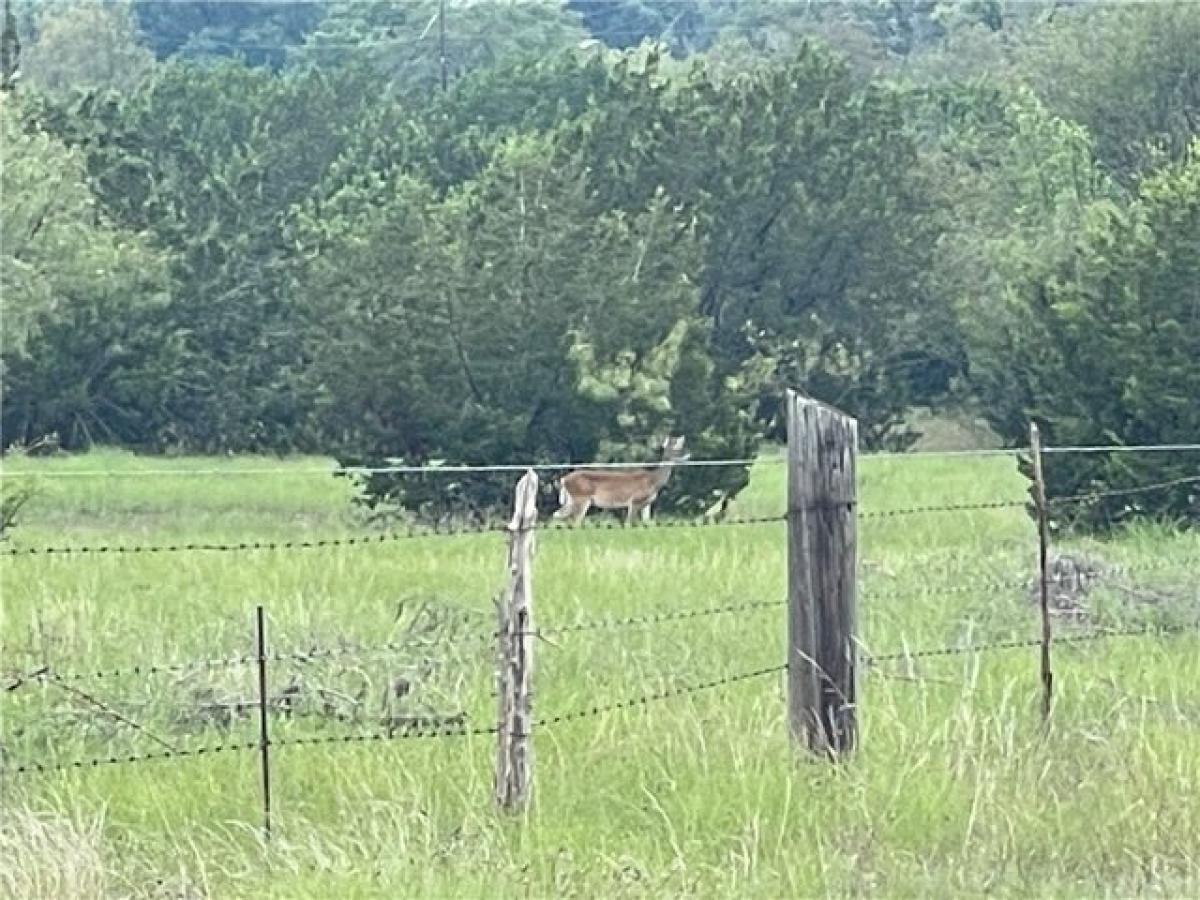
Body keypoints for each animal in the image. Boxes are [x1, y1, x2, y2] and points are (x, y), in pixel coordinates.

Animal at [549, 436, 691, 528]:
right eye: (676, 449)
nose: (688, 454)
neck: (653, 481)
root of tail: (564, 479)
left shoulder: (647, 504)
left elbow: (647, 523)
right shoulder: (635, 501)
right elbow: (629, 523)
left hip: (571, 500)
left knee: (557, 514)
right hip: (581, 498)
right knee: (575, 520)